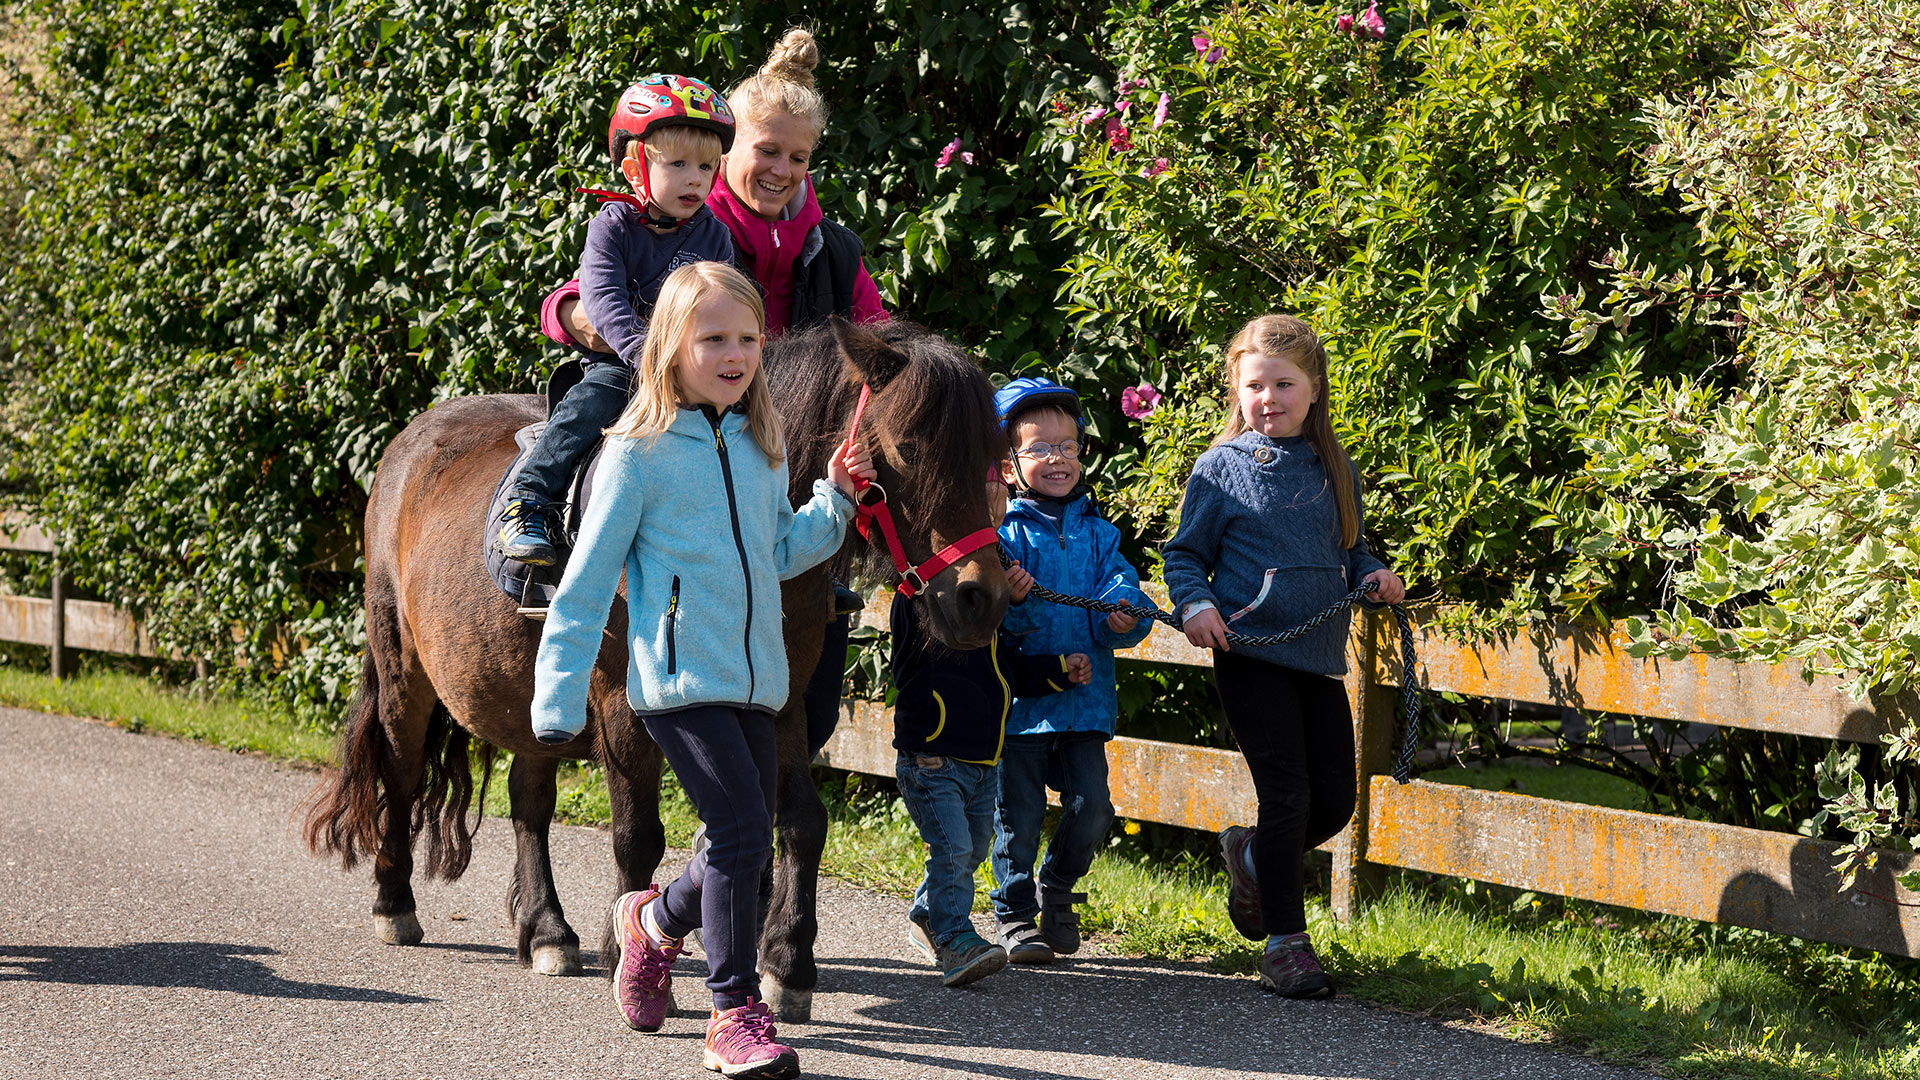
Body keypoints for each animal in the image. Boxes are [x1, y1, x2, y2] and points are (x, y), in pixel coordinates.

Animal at [299, 313, 1006, 1014]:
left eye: (990, 457)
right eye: (907, 447)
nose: (981, 599)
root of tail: (408, 444)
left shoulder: (780, 703)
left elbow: (802, 823)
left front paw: (786, 963)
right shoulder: (622, 706)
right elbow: (638, 833)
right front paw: (628, 954)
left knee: (529, 802)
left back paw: (545, 930)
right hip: (405, 673)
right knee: (401, 771)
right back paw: (396, 902)